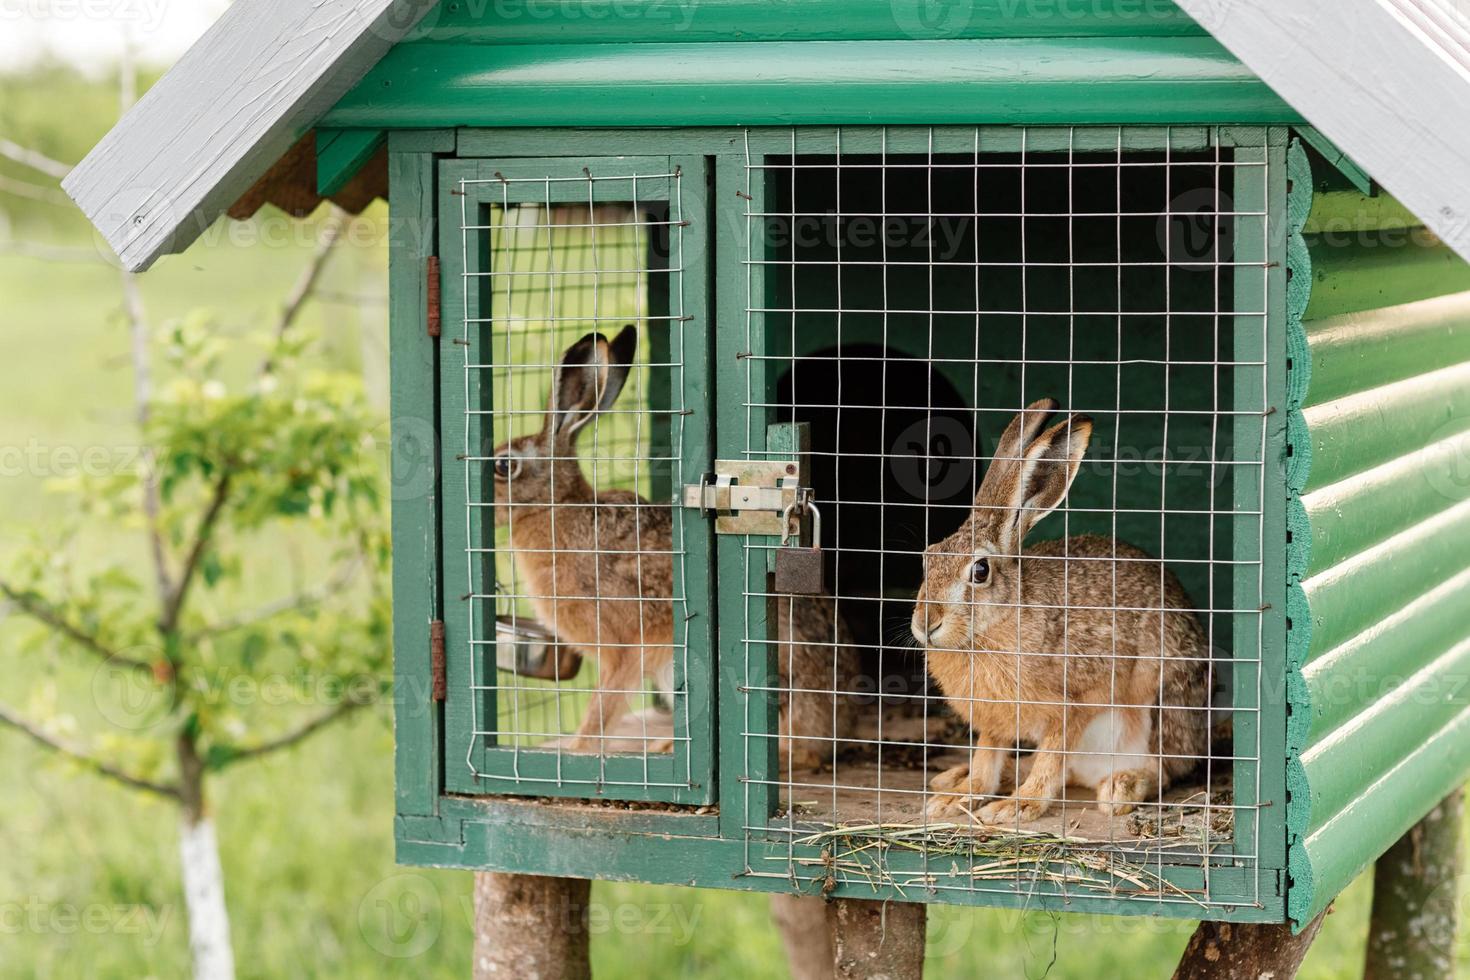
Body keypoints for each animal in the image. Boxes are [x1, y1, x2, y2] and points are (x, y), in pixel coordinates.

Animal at [493, 326, 858, 769]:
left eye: (504, 466)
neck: (558, 507)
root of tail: (837, 727)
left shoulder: (626, 645)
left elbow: (603, 703)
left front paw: (577, 748)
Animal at [911, 393, 1211, 822]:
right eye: (927, 559)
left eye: (980, 571)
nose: (926, 624)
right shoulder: (994, 721)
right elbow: (988, 755)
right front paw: (963, 796)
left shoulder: (1074, 704)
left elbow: (1051, 756)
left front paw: (1019, 806)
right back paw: (952, 779)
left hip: (1158, 705)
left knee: (1164, 769)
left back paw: (1122, 786)